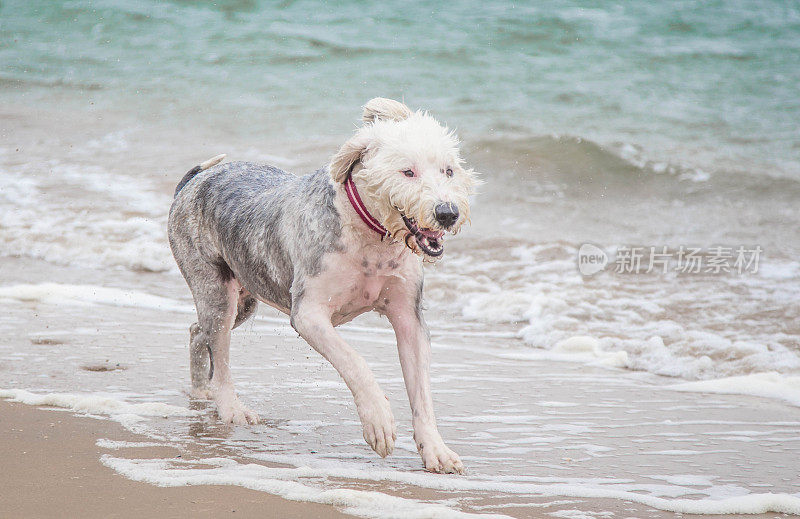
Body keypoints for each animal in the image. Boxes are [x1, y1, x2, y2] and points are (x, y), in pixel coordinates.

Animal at [168, 98, 478, 476]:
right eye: (408, 172)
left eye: (448, 171)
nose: (447, 213)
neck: (371, 237)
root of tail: (194, 181)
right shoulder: (309, 314)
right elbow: (354, 361)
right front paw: (379, 422)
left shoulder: (409, 317)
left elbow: (421, 392)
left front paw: (436, 451)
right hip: (215, 287)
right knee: (220, 350)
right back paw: (232, 409)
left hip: (245, 296)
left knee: (198, 331)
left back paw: (201, 391)